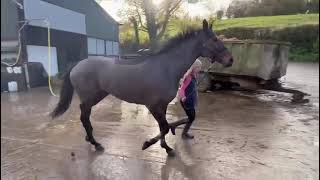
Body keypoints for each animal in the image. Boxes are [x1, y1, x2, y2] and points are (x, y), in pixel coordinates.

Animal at [51, 19, 234, 155]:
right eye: (214, 39)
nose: (230, 60)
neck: (166, 68)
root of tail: (77, 64)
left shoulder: (162, 105)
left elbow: (163, 127)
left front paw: (167, 148)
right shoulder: (152, 105)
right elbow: (165, 127)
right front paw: (148, 144)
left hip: (97, 96)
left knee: (85, 117)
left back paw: (90, 140)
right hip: (89, 97)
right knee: (84, 117)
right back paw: (96, 144)